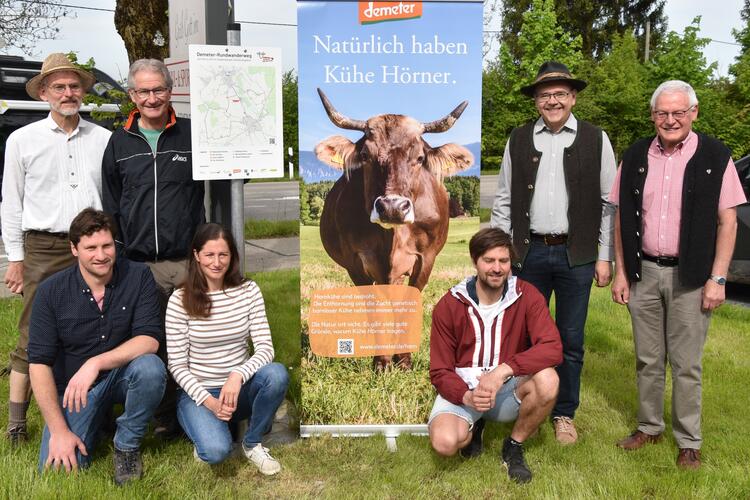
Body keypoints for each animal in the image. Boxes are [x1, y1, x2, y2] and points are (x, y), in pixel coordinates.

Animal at [314, 89, 472, 372]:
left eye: (419, 158)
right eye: (365, 156)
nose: (392, 207)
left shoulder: (425, 259)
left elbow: (407, 306)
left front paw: (404, 361)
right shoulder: (356, 264)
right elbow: (376, 311)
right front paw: (381, 362)